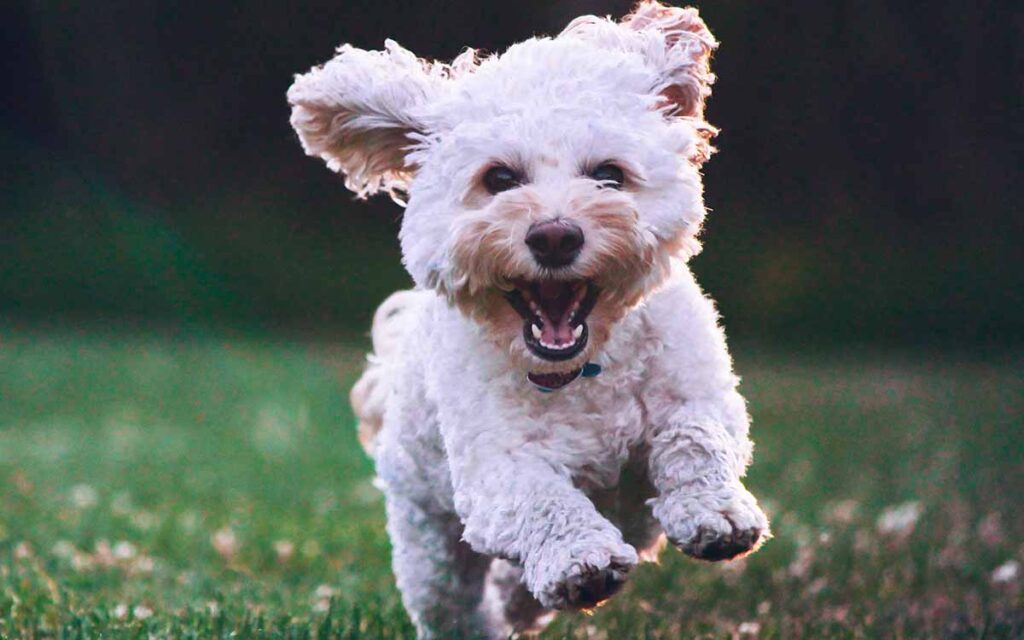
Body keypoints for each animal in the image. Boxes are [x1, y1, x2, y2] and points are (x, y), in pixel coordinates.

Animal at [288, 2, 770, 634]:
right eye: (499, 179)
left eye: (609, 174)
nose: (555, 236)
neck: (584, 369)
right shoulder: (496, 468)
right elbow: (542, 500)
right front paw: (580, 559)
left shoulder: (698, 392)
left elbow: (697, 438)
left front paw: (716, 513)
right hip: (427, 536)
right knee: (450, 600)